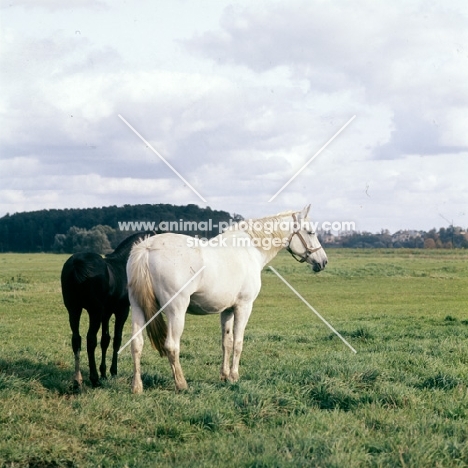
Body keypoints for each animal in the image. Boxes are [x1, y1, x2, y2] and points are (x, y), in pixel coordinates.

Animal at [59, 230, 155, 388]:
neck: (123, 264)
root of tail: (77, 263)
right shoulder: (121, 311)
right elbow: (116, 339)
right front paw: (112, 371)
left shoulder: (106, 312)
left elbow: (105, 339)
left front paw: (104, 372)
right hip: (94, 312)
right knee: (90, 340)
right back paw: (94, 378)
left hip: (73, 309)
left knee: (76, 340)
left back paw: (78, 379)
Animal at [126, 205, 328, 392]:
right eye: (311, 232)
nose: (323, 261)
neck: (250, 249)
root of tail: (147, 249)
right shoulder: (243, 307)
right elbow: (238, 343)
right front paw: (234, 376)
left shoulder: (227, 310)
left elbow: (227, 343)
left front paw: (224, 376)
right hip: (176, 310)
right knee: (171, 346)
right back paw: (181, 384)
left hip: (137, 308)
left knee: (136, 344)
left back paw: (137, 387)